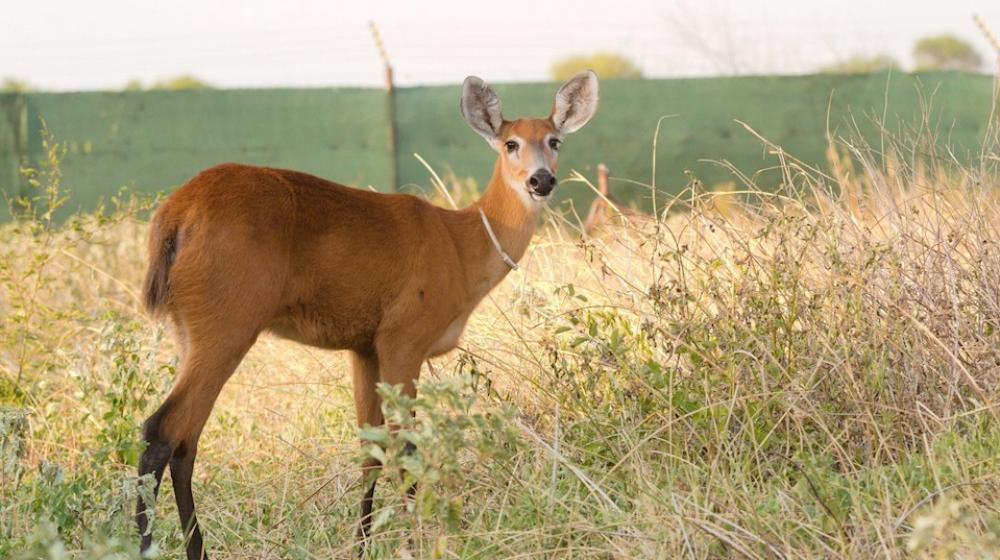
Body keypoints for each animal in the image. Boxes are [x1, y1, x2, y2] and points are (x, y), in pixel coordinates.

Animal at [135, 70, 599, 559]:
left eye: (554, 140)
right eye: (511, 143)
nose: (541, 180)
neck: (460, 245)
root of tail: (175, 214)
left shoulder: (364, 347)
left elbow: (369, 451)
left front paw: (360, 546)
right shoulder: (404, 337)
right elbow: (406, 448)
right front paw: (415, 543)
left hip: (191, 330)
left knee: (185, 440)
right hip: (227, 323)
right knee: (162, 430)